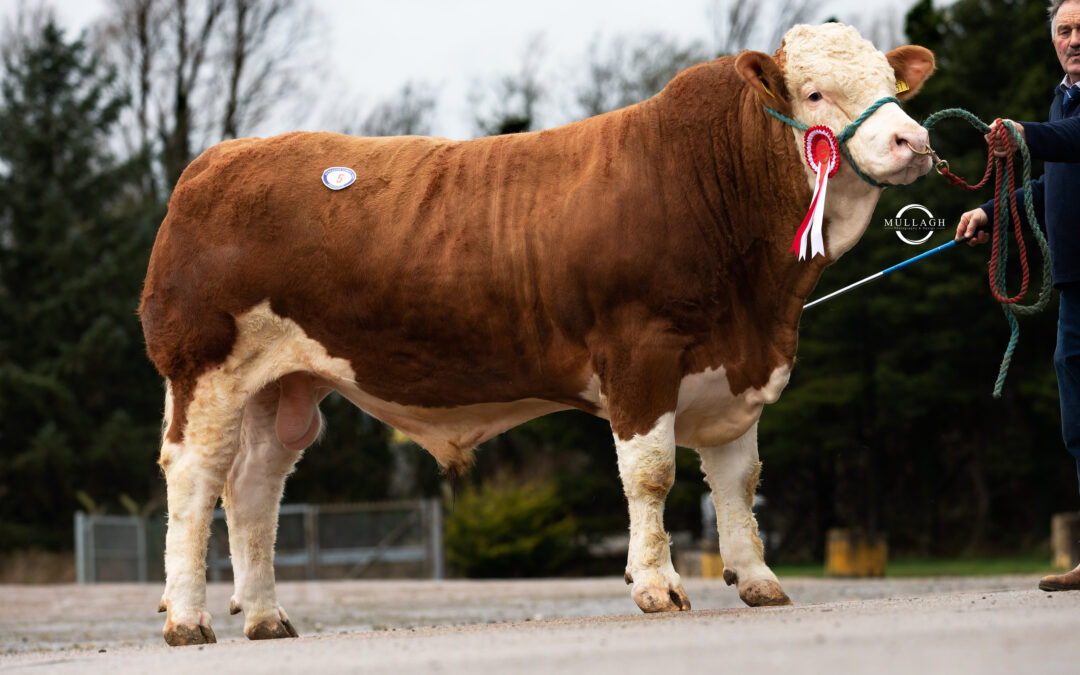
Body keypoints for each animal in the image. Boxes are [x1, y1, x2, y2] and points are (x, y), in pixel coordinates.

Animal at [139, 23, 933, 643]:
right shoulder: (640, 351)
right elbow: (652, 472)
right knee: (196, 478)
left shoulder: (735, 363)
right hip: (204, 368)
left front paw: (760, 578)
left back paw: (266, 617)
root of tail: (217, 161)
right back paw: (187, 619)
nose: (913, 139)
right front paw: (658, 585)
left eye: (891, 84)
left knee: (254, 488)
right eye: (815, 94)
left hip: (286, 386)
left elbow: (739, 479)